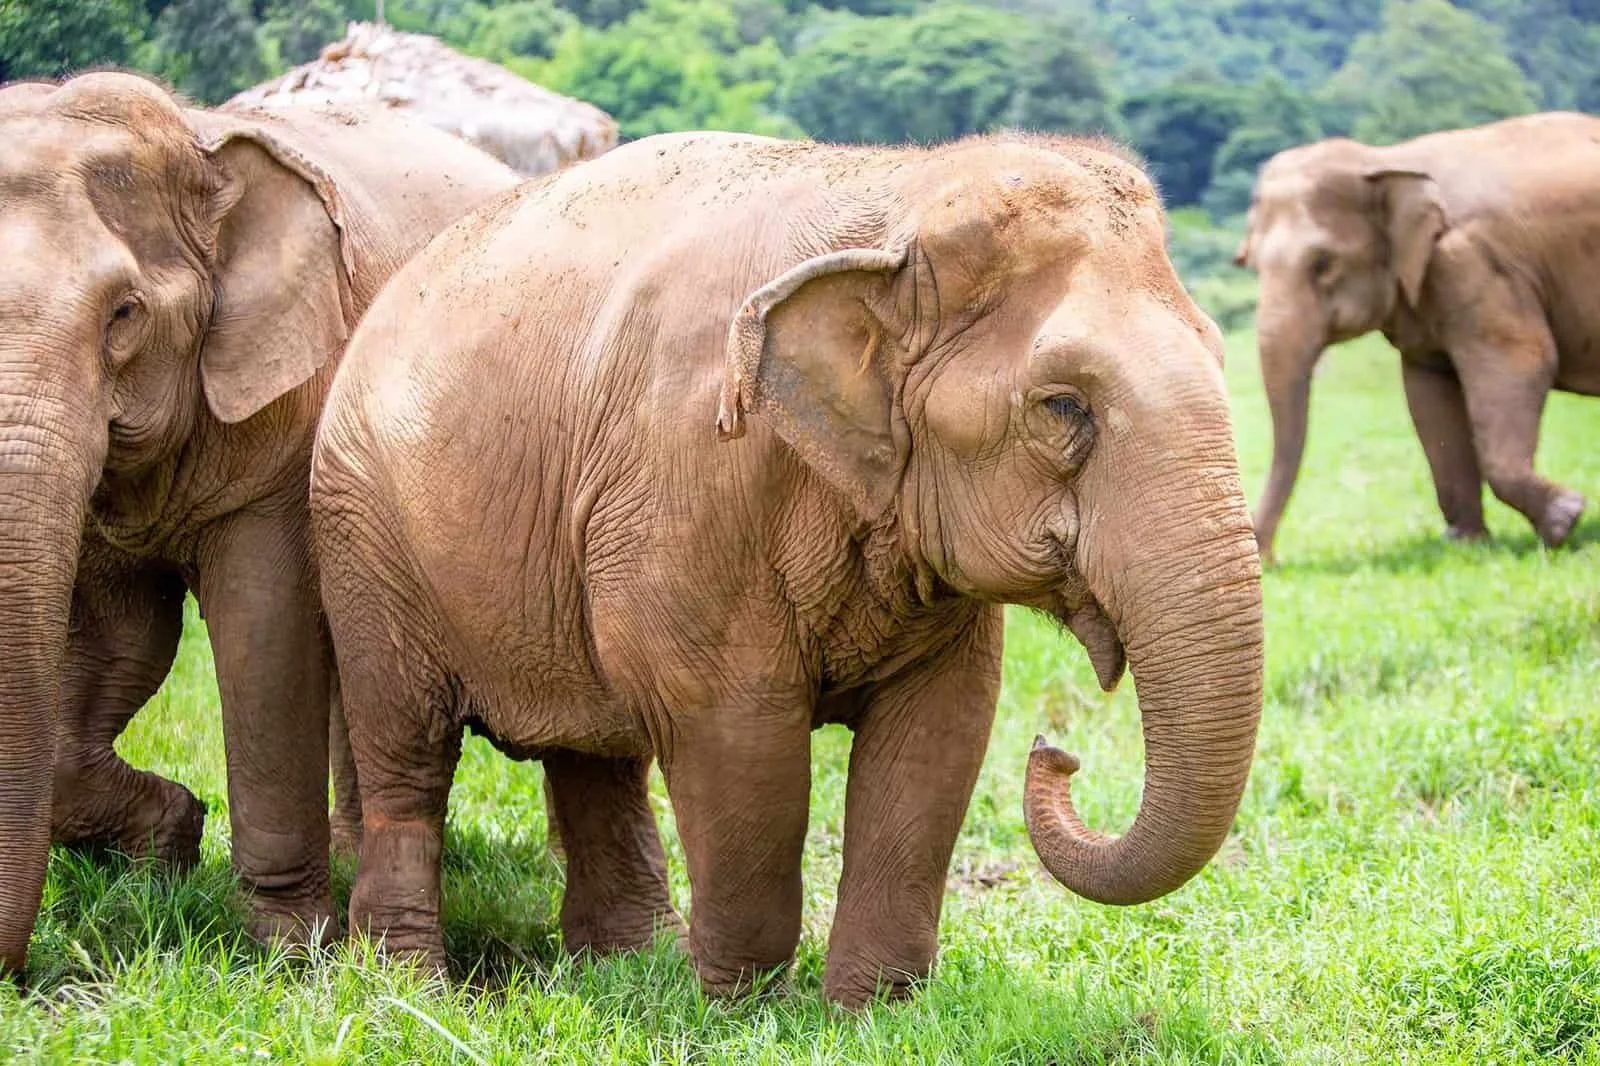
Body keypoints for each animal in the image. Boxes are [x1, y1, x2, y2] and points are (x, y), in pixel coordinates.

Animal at [0, 72, 518, 976]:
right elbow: (122, 640)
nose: (23, 976)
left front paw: (286, 954)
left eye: (124, 313)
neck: (200, 144)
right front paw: (171, 841)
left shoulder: (292, 410)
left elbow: (265, 627)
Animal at [310, 130, 1266, 1008]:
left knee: (594, 758)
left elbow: (941, 731)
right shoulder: (688, 480)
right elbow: (736, 732)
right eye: (1063, 407)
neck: (897, 194)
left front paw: (876, 1013)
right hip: (363, 534)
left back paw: (623, 970)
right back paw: (412, 988)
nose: (1055, 754)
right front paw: (742, 1010)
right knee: (407, 749)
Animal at [1235, 112, 1600, 559]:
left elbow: (1523, 362)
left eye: (1323, 264)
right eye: (1252, 265)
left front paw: (1564, 522)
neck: (1385, 160)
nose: (1270, 558)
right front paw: (1467, 545)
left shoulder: (1475, 264)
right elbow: (1428, 391)